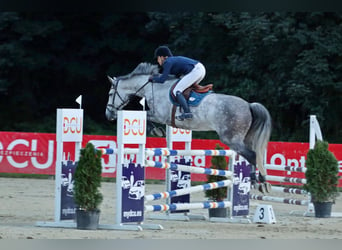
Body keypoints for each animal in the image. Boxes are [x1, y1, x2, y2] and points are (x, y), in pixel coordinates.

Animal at [105, 62, 272, 193]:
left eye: (111, 93)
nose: (108, 115)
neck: (154, 88)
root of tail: (249, 105)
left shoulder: (160, 115)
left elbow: (147, 116)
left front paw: (156, 131)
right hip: (245, 138)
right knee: (253, 154)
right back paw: (256, 181)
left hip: (231, 139)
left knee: (252, 155)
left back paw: (260, 182)